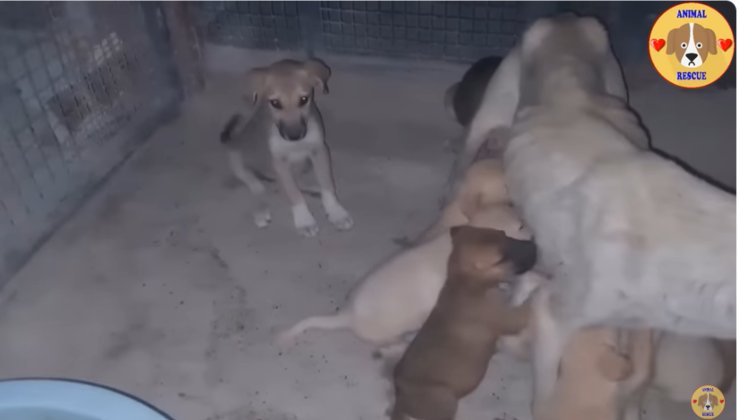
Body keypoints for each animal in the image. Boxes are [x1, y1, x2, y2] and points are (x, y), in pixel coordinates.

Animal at [220, 57, 352, 238]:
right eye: (275, 103)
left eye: (304, 99)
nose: (295, 136)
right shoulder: (279, 161)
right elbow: (294, 194)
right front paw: (305, 221)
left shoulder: (319, 150)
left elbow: (327, 184)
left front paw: (336, 212)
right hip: (237, 161)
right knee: (258, 188)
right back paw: (261, 210)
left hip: (304, 164)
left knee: (297, 181)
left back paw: (313, 189)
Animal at [390, 226, 536, 420]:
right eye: (501, 257)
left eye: (505, 235)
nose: (535, 245)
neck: (466, 280)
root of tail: (401, 398)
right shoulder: (508, 319)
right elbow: (526, 308)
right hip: (445, 400)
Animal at [462, 13, 736, 414]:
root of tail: (565, 17)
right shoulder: (553, 315)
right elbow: (544, 399)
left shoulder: (644, 326)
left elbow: (636, 380)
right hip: (484, 121)